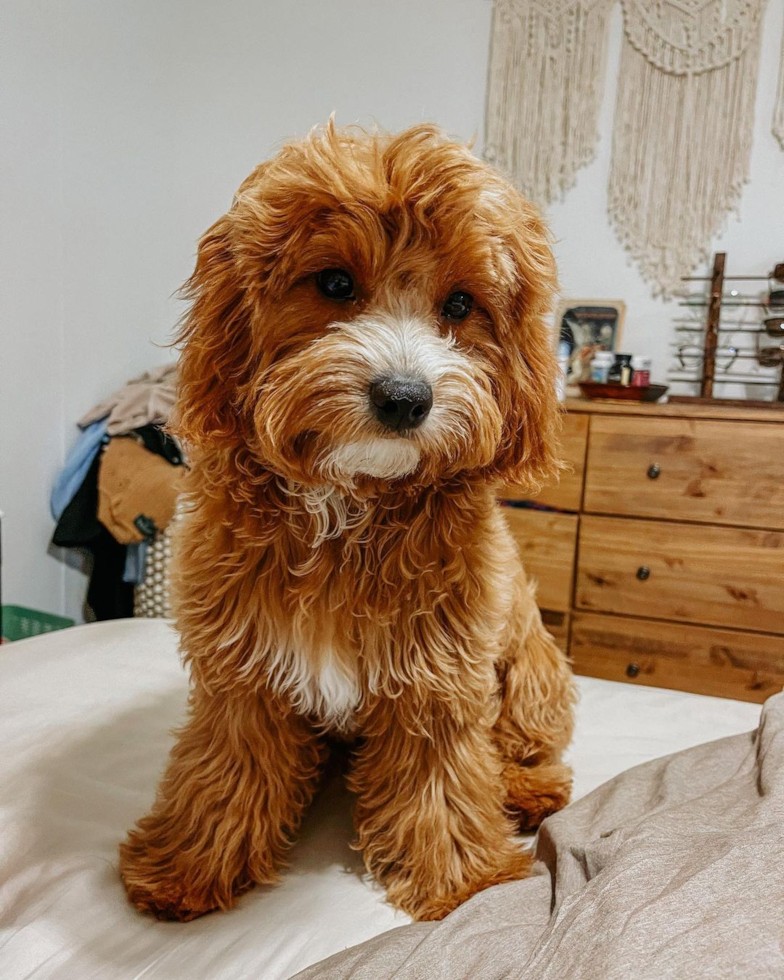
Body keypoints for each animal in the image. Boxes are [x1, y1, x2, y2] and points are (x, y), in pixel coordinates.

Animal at [118, 120, 576, 920]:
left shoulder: (440, 674)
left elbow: (445, 780)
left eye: (461, 304)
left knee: (523, 742)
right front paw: (190, 864)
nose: (404, 397)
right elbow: (224, 765)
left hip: (531, 666)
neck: (351, 499)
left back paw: (527, 790)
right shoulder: (244, 671)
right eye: (334, 283)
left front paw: (464, 885)